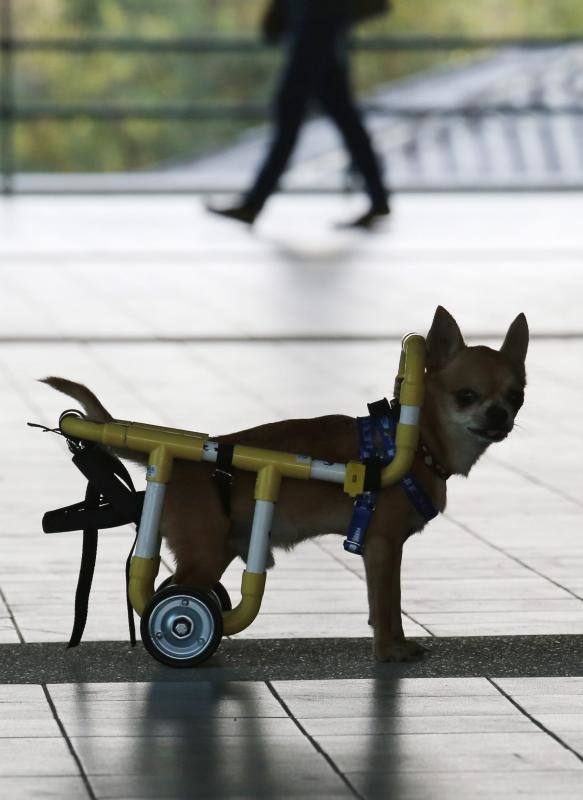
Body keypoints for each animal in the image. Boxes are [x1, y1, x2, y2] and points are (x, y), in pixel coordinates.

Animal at [44, 306, 528, 664]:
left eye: (517, 396)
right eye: (466, 396)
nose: (499, 415)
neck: (419, 441)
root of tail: (179, 464)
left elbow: (387, 605)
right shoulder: (383, 546)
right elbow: (386, 605)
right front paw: (390, 650)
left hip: (217, 549)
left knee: (169, 588)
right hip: (205, 552)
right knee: (169, 598)